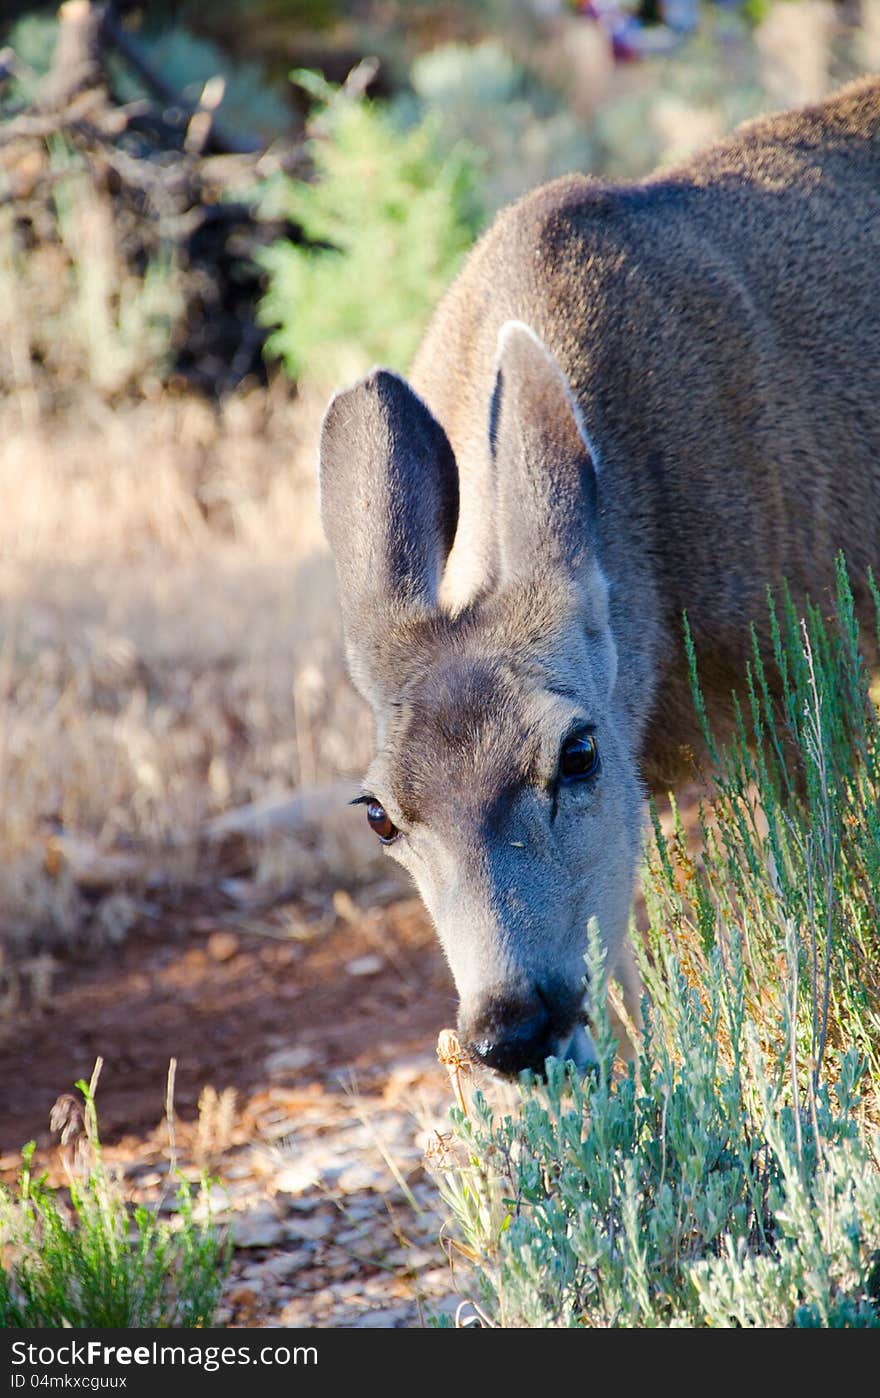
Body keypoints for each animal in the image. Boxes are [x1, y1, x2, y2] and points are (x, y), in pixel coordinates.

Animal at [318, 76, 878, 1073]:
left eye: (576, 751)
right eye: (377, 813)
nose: (514, 1030)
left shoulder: (814, 675)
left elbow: (817, 908)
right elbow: (620, 970)